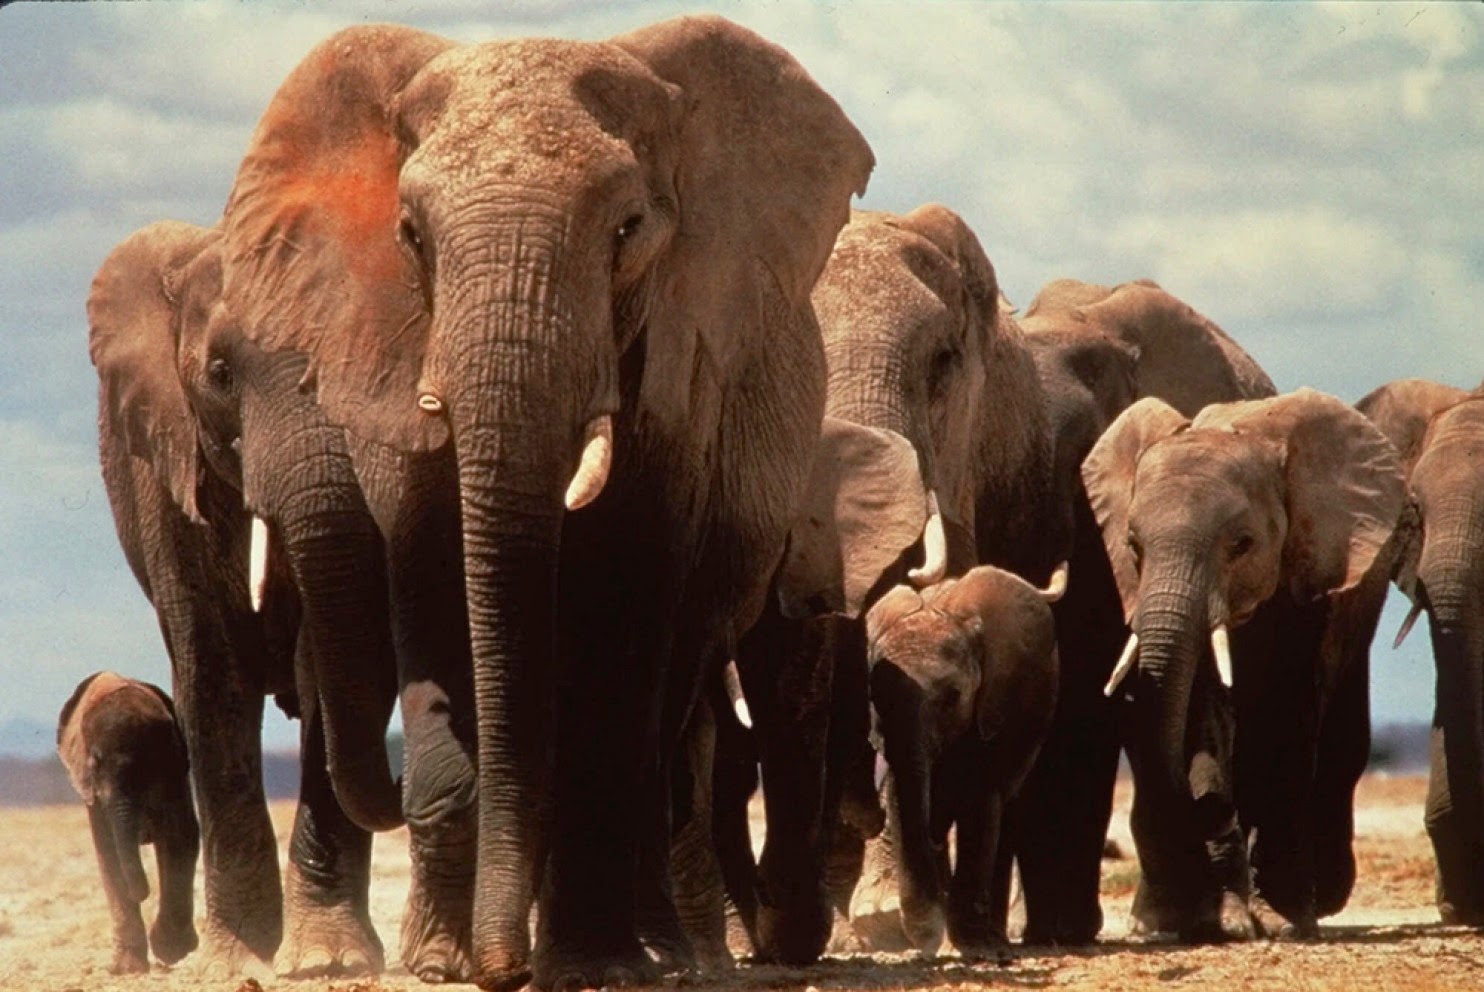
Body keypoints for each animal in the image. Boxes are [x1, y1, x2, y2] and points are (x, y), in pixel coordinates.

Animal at [58, 672, 199, 974]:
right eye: (94, 764)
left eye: (151, 762)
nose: (143, 894)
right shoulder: (94, 796)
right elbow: (108, 853)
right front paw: (125, 969)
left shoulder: (174, 772)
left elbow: (180, 838)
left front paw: (171, 951)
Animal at [89, 222, 411, 977]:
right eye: (219, 374)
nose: (409, 781)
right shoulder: (167, 463)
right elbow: (212, 670)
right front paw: (237, 963)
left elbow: (327, 673)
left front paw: (328, 963)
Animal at [214, 16, 872, 989]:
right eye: (410, 234)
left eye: (629, 229)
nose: (504, 969)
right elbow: (436, 589)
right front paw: (445, 964)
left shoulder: (678, 381)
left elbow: (624, 606)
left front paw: (595, 966)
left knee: (670, 709)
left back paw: (666, 951)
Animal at [863, 566, 1060, 960]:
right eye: (875, 697)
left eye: (952, 698)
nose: (926, 941)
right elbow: (905, 799)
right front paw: (931, 936)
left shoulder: (997, 708)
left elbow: (980, 801)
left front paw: (971, 947)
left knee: (1005, 814)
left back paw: (993, 939)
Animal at [1082, 388, 1405, 940]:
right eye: (1133, 547)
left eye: (1242, 545)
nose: (1214, 815)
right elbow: (1204, 710)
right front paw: (1211, 921)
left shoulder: (1310, 570)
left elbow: (1288, 711)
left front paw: (1281, 921)